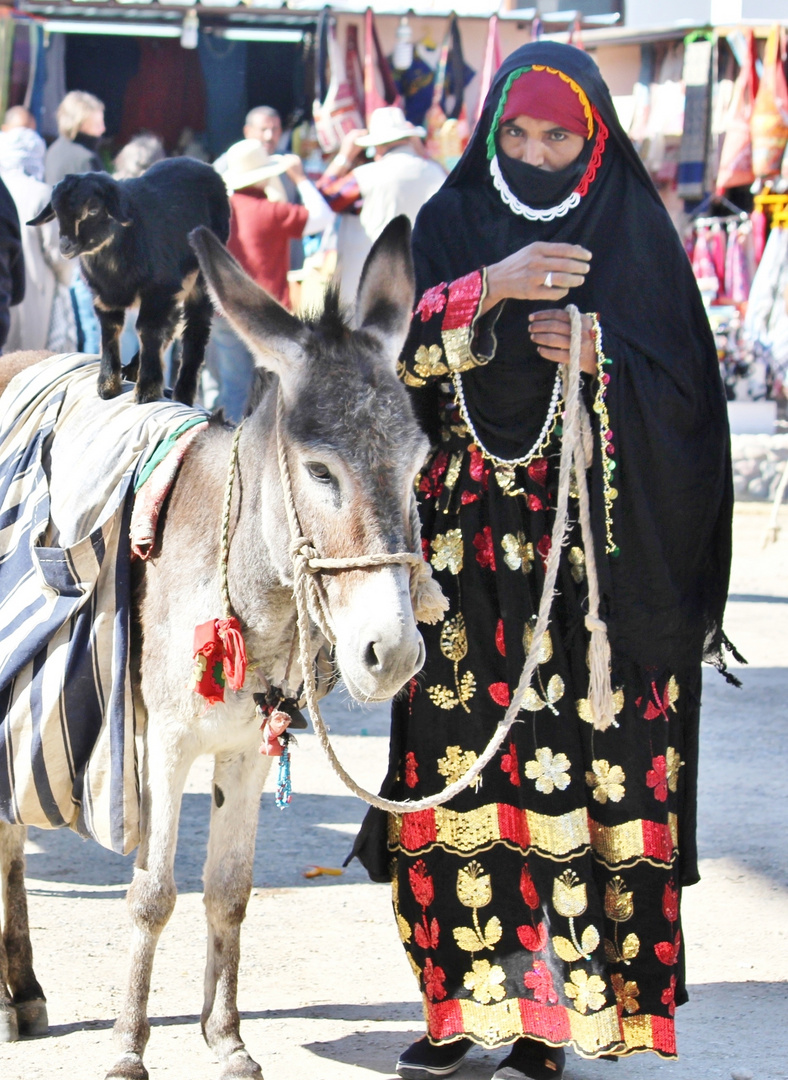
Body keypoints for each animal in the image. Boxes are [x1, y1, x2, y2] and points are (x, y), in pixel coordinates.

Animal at [28, 154, 229, 403]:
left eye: (93, 210)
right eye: (56, 213)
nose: (66, 245)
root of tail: (200, 163)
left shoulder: (158, 290)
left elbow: (148, 329)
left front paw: (147, 389)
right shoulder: (104, 297)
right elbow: (110, 331)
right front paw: (107, 386)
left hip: (200, 279)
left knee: (195, 329)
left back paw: (182, 393)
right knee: (173, 322)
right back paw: (133, 368)